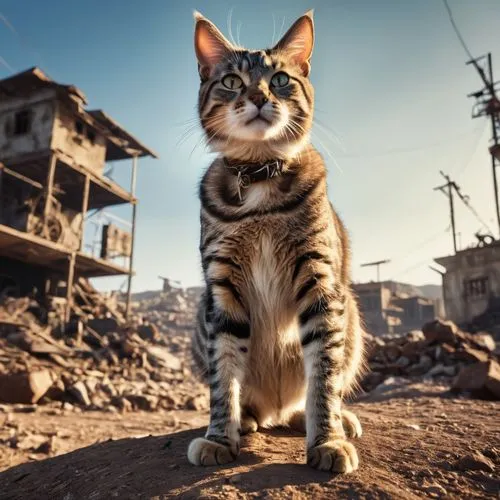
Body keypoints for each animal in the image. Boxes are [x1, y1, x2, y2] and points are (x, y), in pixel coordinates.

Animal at [186, 9, 366, 474]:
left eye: (281, 78)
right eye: (232, 81)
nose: (259, 96)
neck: (259, 177)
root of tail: (276, 406)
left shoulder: (320, 283)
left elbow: (323, 374)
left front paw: (328, 440)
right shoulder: (222, 289)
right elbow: (223, 375)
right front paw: (219, 435)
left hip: (351, 314)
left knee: (321, 384)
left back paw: (328, 418)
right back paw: (246, 417)